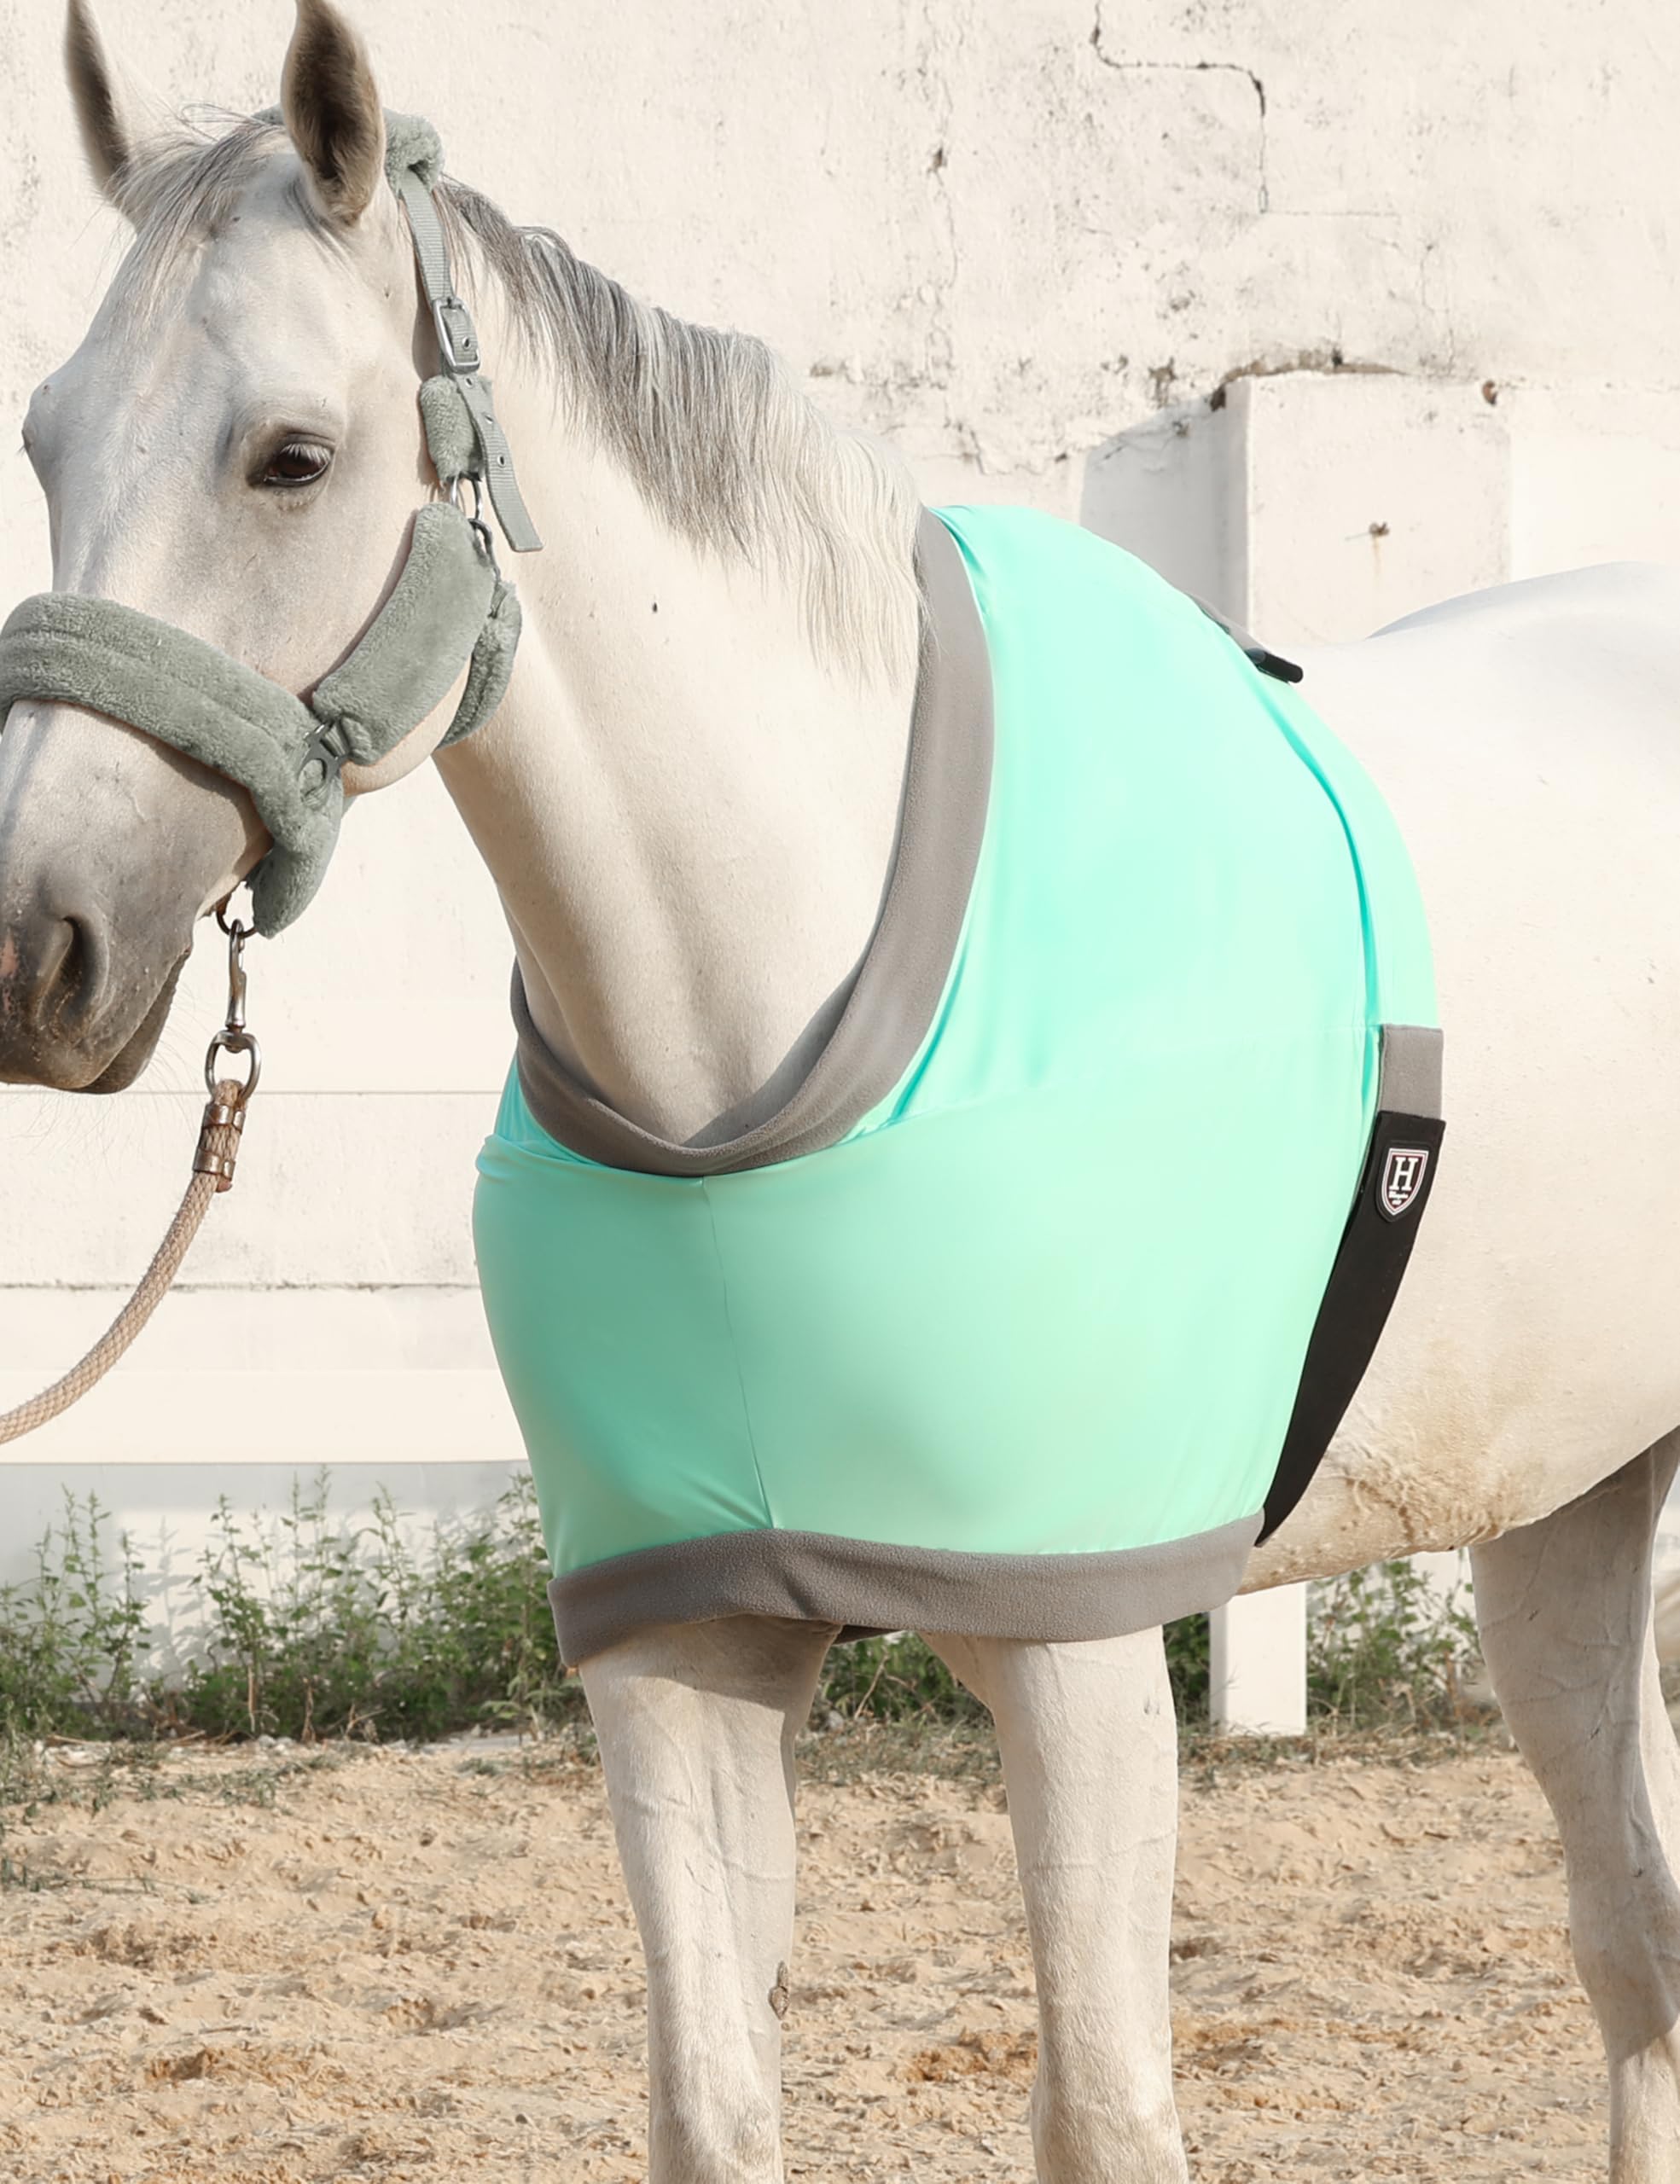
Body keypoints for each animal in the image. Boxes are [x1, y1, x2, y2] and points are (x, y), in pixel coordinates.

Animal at [4, 4, 1680, 2177]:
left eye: (289, 454)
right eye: (47, 435)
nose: (37, 944)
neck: (768, 1013)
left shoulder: (1082, 1655)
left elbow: (1105, 2104)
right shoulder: (678, 1650)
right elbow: (714, 2097)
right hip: (1567, 1499)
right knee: (1629, 1935)